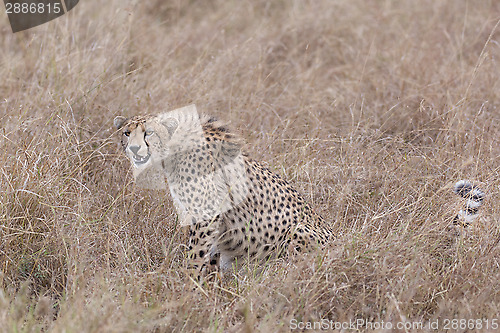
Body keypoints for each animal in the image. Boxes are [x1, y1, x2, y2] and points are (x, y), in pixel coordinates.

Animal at [115, 105, 486, 274]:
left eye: (148, 132)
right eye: (127, 132)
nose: (133, 148)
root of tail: (340, 240)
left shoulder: (206, 219)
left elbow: (194, 258)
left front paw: (184, 288)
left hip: (298, 232)